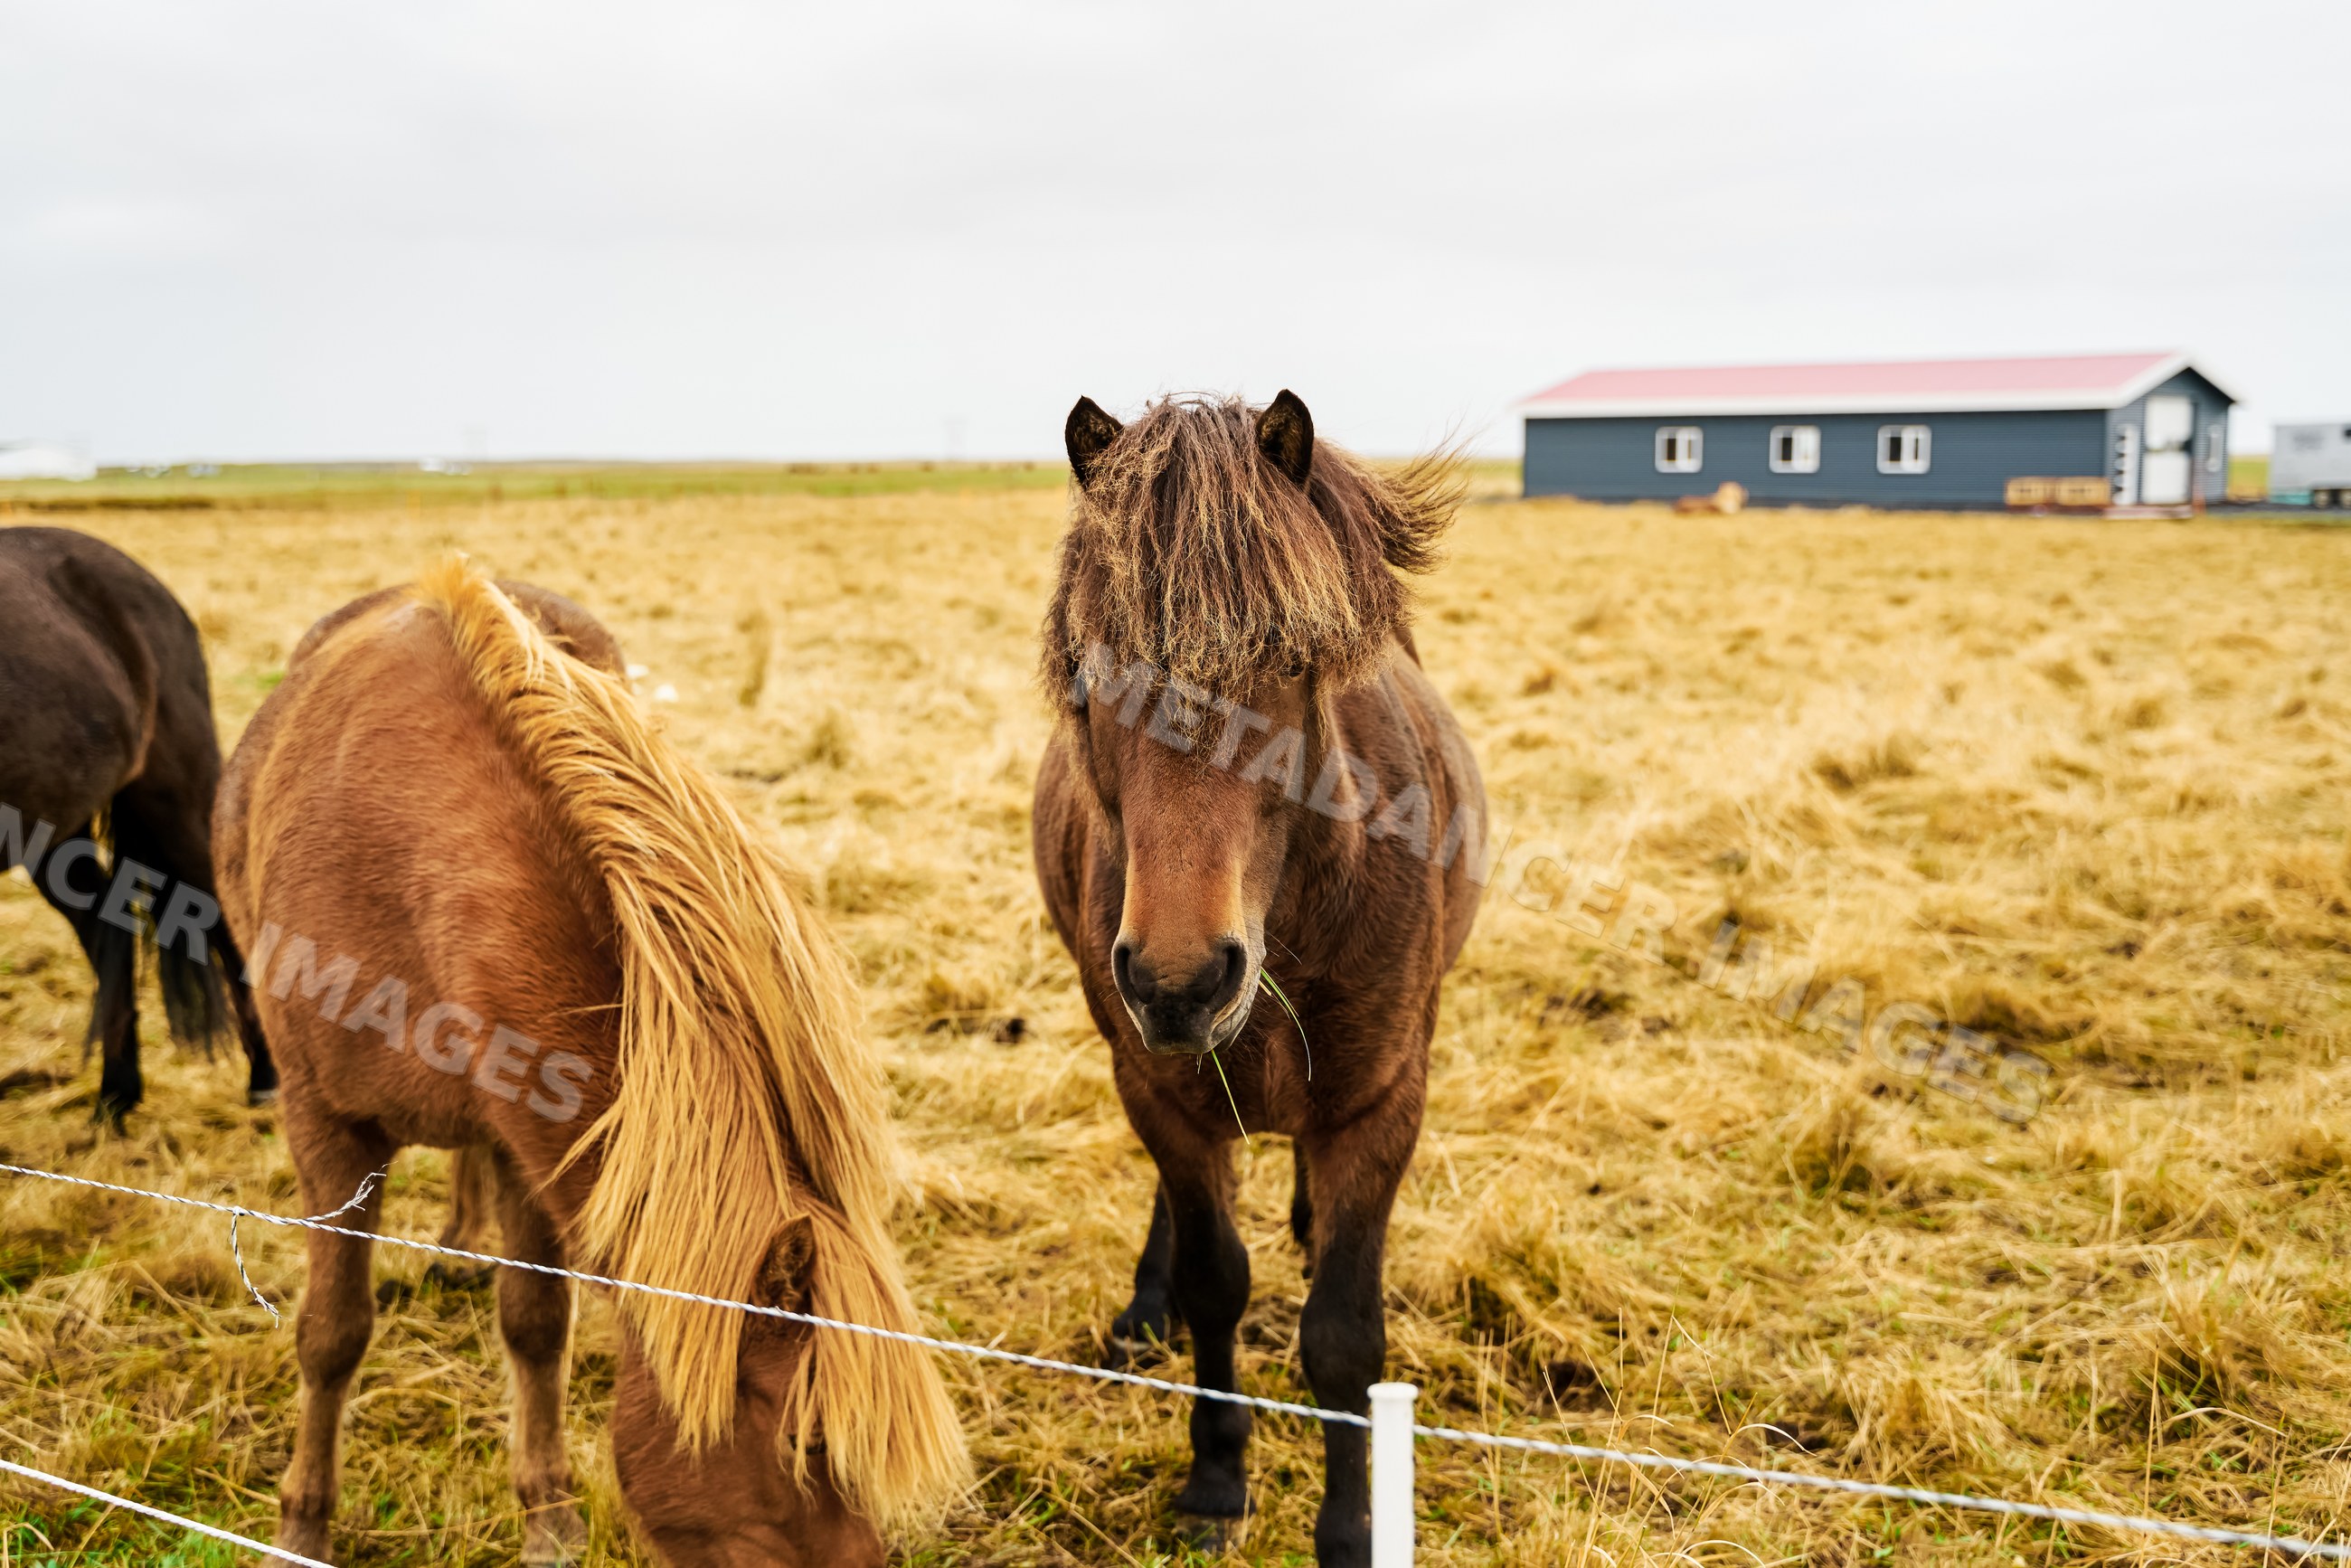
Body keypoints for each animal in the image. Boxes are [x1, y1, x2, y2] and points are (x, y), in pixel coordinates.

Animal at [0, 525, 276, 1123]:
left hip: (174, 801)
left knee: (217, 918)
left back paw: (265, 1079)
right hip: (57, 829)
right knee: (106, 928)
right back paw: (117, 1093)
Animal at [213, 559, 966, 1566]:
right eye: (804, 1443)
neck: (402, 863)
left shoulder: (528, 1134)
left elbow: (535, 1323)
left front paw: (548, 1518)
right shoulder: (326, 1126)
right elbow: (332, 1334)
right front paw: (302, 1526)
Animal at [1031, 392, 1487, 1564]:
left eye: (1288, 664)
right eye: (1088, 678)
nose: (1179, 979)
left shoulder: (1380, 1106)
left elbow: (1342, 1338)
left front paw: (1350, 1525)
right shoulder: (1160, 1090)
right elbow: (1213, 1284)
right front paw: (1214, 1478)